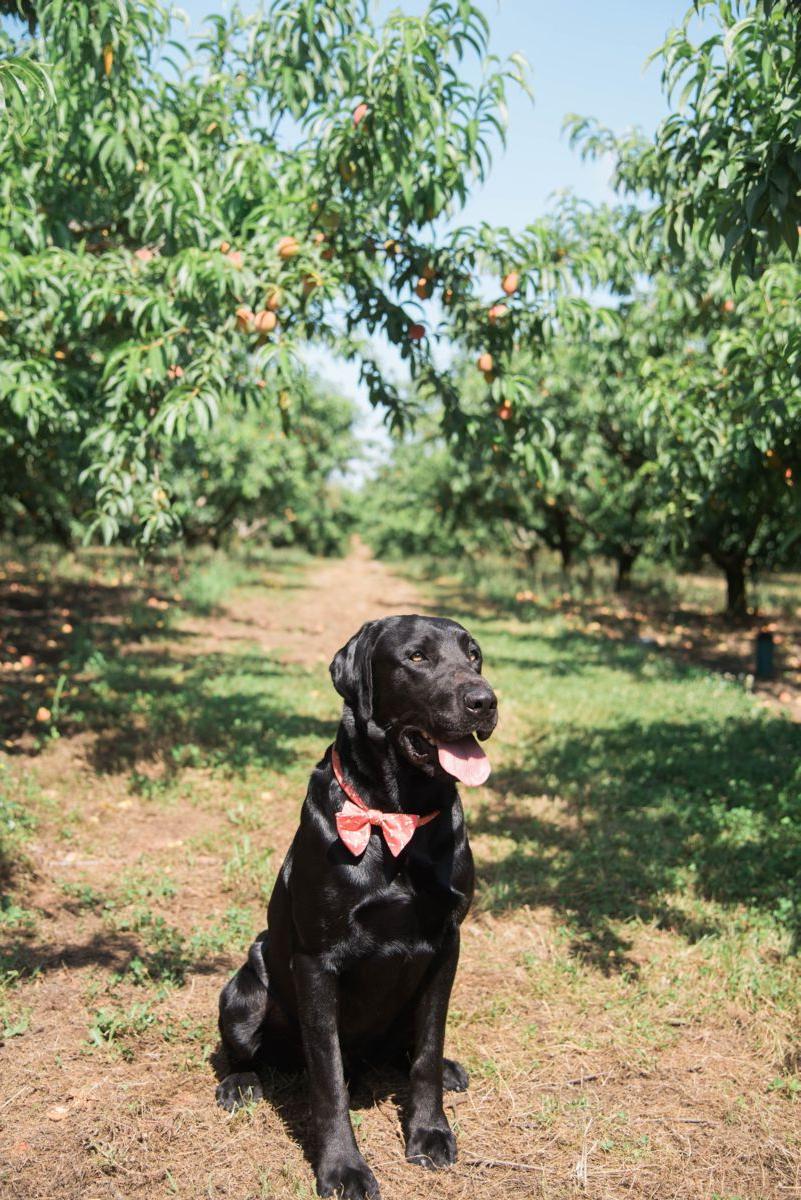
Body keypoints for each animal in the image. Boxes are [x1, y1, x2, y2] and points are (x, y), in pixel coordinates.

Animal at [215, 614, 496, 1195]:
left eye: (474, 656)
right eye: (416, 657)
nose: (485, 700)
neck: (397, 817)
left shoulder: (446, 945)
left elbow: (428, 1050)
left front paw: (430, 1132)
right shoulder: (317, 961)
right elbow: (328, 1079)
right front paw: (342, 1167)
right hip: (243, 990)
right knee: (247, 1049)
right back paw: (239, 1083)